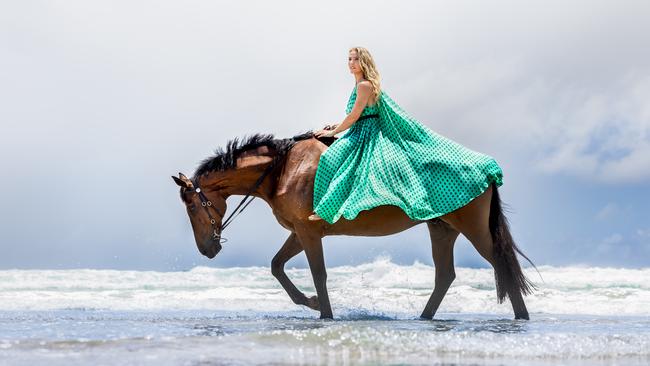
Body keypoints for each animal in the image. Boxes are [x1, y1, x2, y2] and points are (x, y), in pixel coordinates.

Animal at [171, 131, 532, 318]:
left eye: (191, 205)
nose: (206, 249)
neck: (283, 169)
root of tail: (487, 169)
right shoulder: (299, 233)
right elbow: (276, 266)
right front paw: (313, 303)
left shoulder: (308, 233)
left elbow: (318, 274)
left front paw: (324, 313)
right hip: (442, 229)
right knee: (445, 276)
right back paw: (424, 318)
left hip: (473, 229)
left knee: (500, 263)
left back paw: (521, 317)